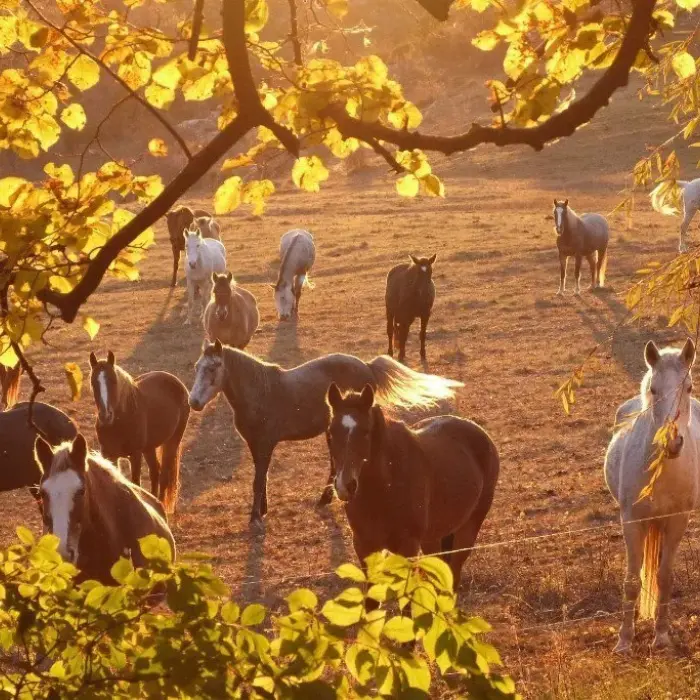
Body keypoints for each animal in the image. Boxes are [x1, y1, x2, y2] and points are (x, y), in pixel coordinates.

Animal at [89, 351, 190, 514]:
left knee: (164, 475)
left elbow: (135, 484)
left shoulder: (135, 455)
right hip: (149, 448)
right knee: (155, 472)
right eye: (93, 383)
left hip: (172, 442)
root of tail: (177, 382)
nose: (106, 416)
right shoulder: (109, 455)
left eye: (114, 381)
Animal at [188, 339, 463, 528]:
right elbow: (261, 477)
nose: (194, 402)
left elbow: (258, 480)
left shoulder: (265, 444)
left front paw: (255, 517)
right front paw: (262, 510)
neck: (261, 392)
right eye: (197, 367)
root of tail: (367, 366)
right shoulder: (256, 446)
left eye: (212, 369)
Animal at [325, 384, 499, 589]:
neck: (382, 490)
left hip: (467, 530)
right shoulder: (364, 546)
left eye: (366, 431)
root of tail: (481, 433)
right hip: (433, 539)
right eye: (330, 432)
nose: (345, 485)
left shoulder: (407, 547)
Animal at [604, 339, 700, 652]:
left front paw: (661, 636)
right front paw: (624, 640)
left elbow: (664, 578)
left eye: (688, 387)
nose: (672, 442)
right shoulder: (632, 522)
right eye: (654, 390)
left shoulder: (677, 520)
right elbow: (632, 581)